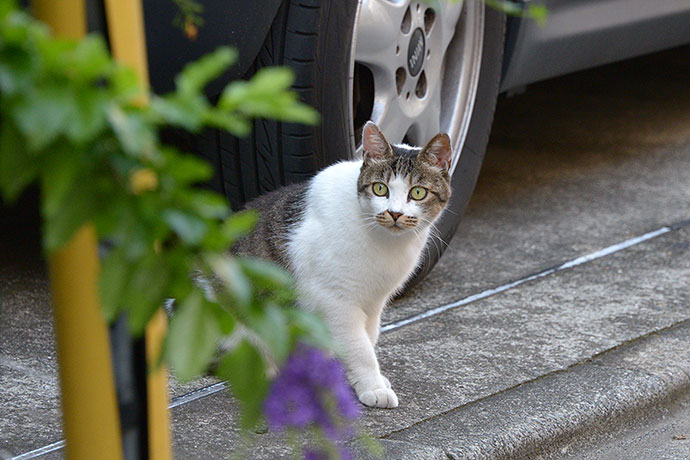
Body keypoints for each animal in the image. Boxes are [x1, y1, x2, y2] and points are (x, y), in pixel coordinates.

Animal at [232, 121, 452, 406]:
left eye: (418, 192)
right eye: (380, 188)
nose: (394, 213)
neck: (385, 243)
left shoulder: (374, 302)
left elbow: (368, 337)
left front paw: (362, 379)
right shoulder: (336, 301)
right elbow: (359, 348)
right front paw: (373, 387)